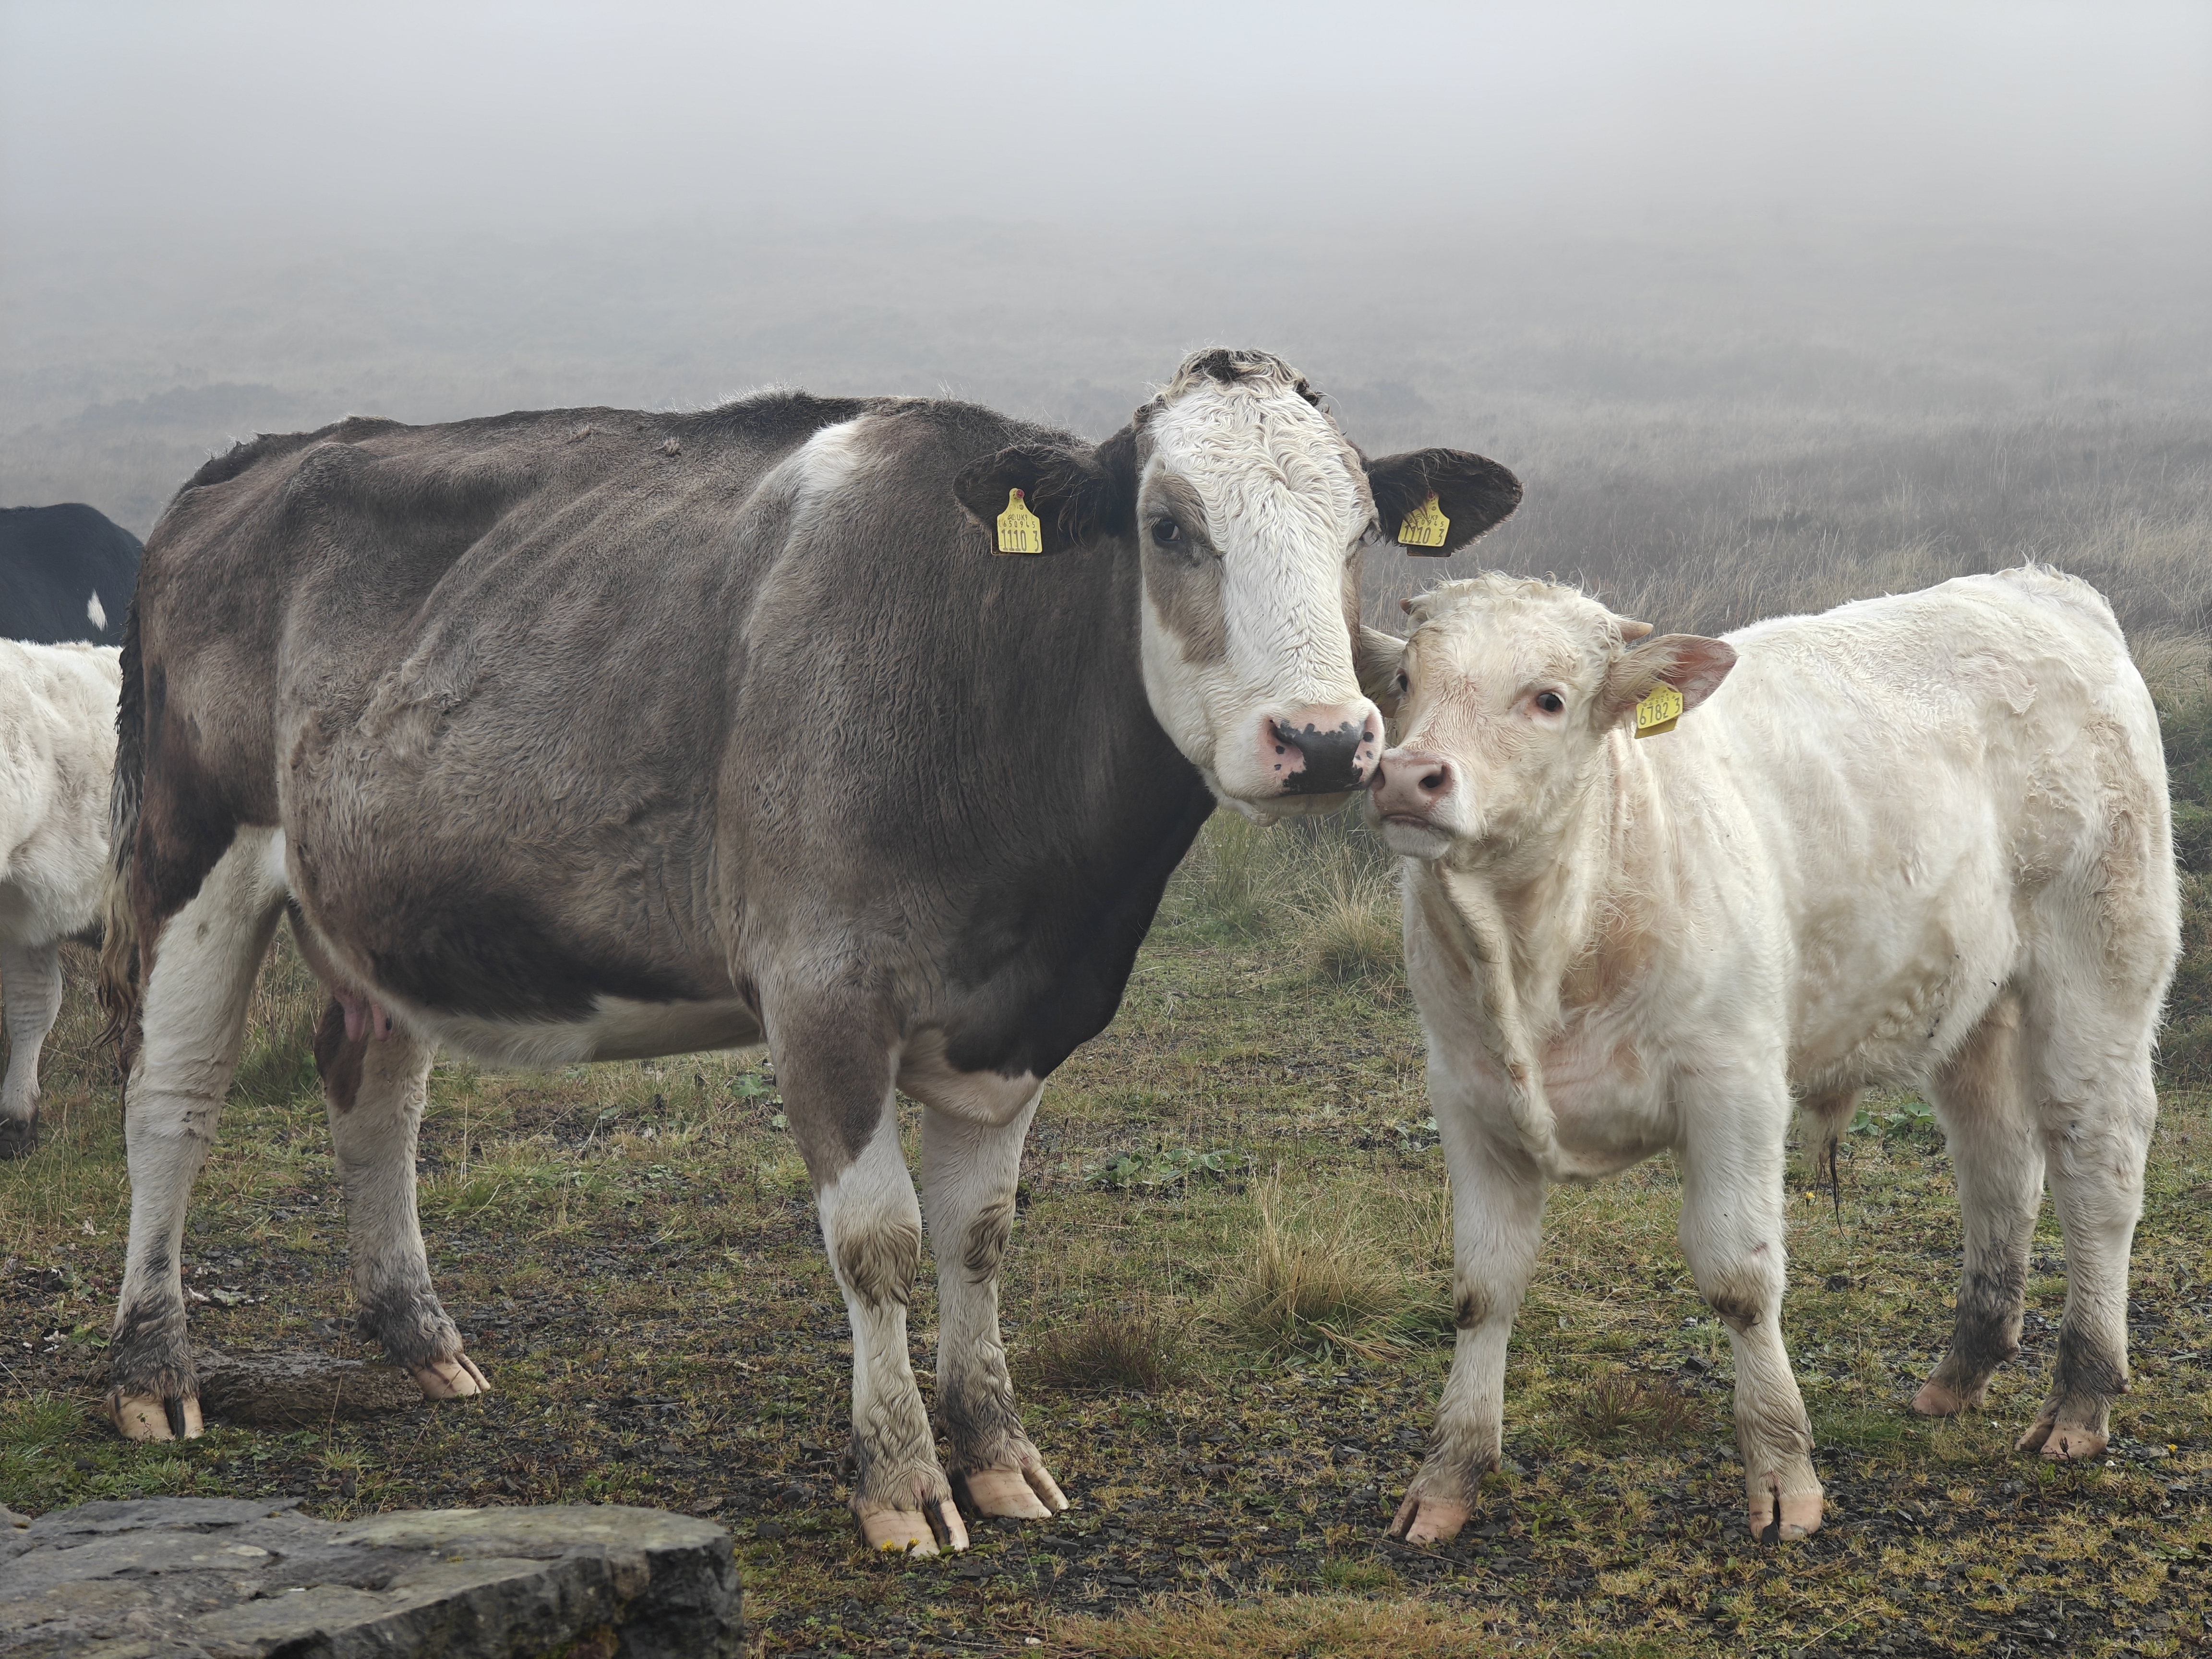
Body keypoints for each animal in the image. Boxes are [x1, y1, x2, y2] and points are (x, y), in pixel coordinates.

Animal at [96, 349, 1523, 1553]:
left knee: (374, 1086)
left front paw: (999, 1454)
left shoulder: (1019, 1017)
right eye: (1170, 527)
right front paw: (902, 1482)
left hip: (378, 894)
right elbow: (877, 1242)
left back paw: (420, 1336)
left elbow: (979, 1237)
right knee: (171, 1104)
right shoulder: (820, 986)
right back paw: (153, 1372)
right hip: (195, 850)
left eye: (1359, 532)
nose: (1328, 740)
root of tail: (257, 460)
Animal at [1363, 567, 2178, 1546]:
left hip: (2100, 965)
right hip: (1971, 1004)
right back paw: (1962, 1370)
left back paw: (2081, 1398)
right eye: (1404, 681)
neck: (1542, 947)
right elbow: (1482, 1287)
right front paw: (1446, 1478)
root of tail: (2041, 585)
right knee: (1997, 1165)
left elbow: (1739, 1279)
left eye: (1548, 698)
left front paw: (1784, 1474)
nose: (1407, 775)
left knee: (2094, 1166)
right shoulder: (1468, 1095)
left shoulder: (1736, 1084)